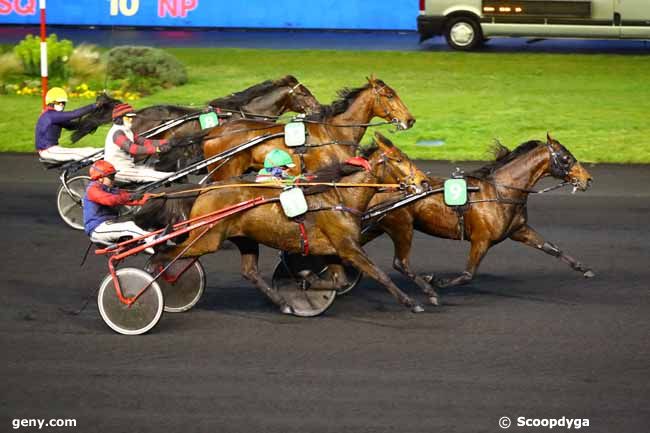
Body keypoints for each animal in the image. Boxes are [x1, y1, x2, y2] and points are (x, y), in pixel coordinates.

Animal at [149, 132, 428, 314]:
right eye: (399, 160)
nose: (424, 182)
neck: (338, 197)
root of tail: (205, 190)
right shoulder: (348, 247)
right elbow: (380, 274)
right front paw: (412, 302)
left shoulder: (334, 249)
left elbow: (339, 280)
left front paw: (307, 281)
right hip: (205, 238)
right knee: (167, 254)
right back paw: (155, 276)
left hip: (243, 238)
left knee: (249, 271)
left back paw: (283, 304)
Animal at [360, 133, 592, 296]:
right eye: (566, 158)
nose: (588, 179)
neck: (500, 192)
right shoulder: (482, 239)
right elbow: (467, 274)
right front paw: (436, 280)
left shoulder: (519, 230)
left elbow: (552, 248)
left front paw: (584, 268)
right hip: (400, 225)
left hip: (377, 226)